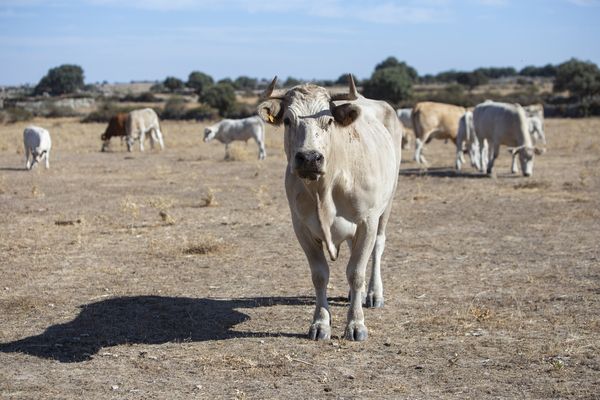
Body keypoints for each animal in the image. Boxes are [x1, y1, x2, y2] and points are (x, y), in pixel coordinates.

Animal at [258, 74, 404, 340]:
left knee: (378, 246)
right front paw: (320, 323)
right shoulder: (302, 227)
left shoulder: (367, 222)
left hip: (387, 203)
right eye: (288, 120)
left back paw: (373, 293)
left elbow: (356, 273)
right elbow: (320, 275)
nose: (309, 158)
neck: (324, 190)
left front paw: (356, 324)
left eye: (328, 120)